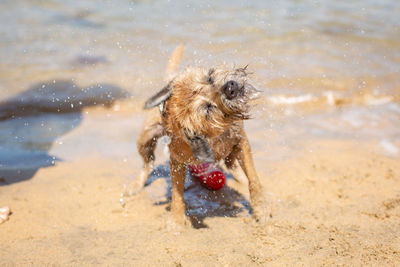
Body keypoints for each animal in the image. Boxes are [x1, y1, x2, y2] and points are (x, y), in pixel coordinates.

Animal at [133, 46, 268, 228]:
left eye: (210, 77)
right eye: (207, 108)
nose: (230, 86)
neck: (212, 135)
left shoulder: (241, 142)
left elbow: (254, 180)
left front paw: (261, 210)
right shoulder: (177, 161)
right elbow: (177, 195)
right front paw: (176, 221)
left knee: (231, 162)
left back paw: (240, 177)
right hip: (145, 138)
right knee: (148, 163)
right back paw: (135, 186)